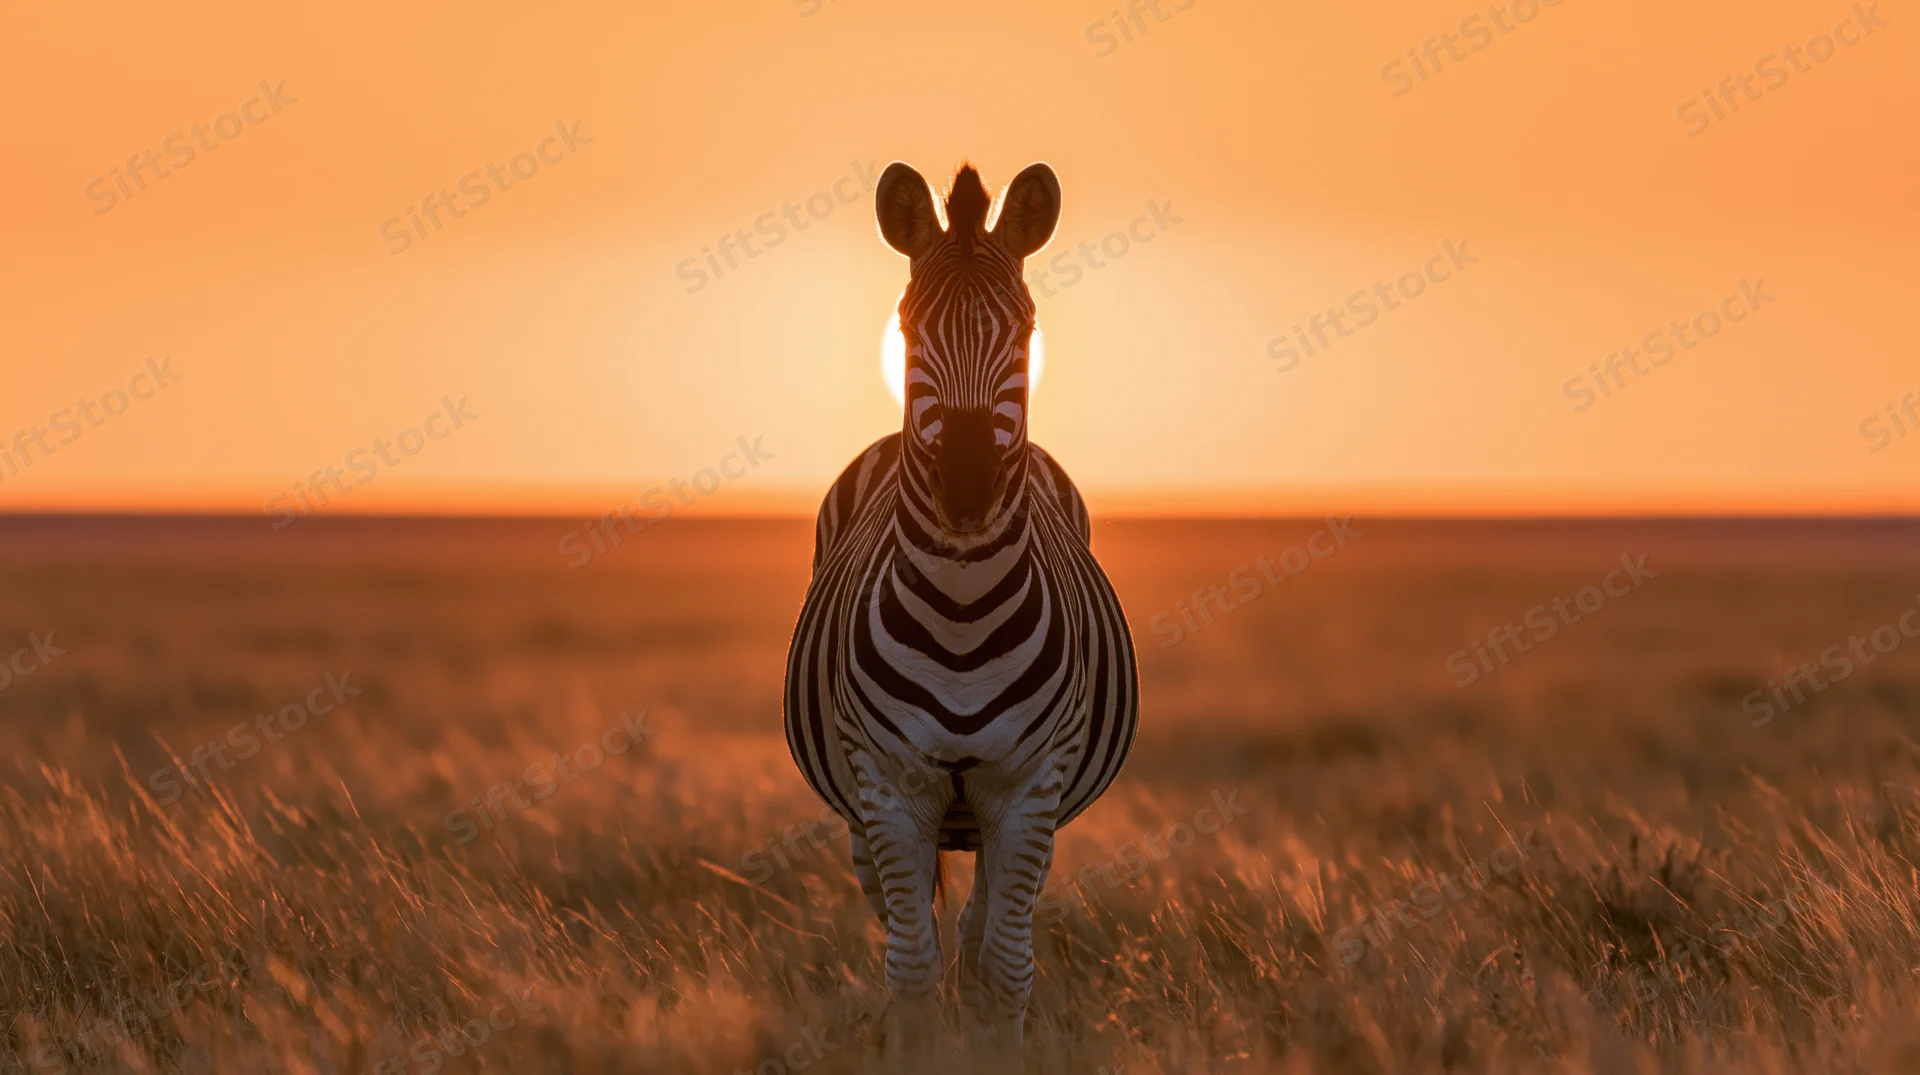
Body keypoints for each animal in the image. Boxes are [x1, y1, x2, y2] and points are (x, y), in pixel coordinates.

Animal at [783, 161, 1139, 1060]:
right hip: (862, 816)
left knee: (982, 940)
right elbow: (912, 970)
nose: (970, 486)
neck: (962, 610)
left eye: (1026, 325)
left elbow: (1003, 970)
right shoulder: (887, 786)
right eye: (909, 326)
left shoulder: (1028, 788)